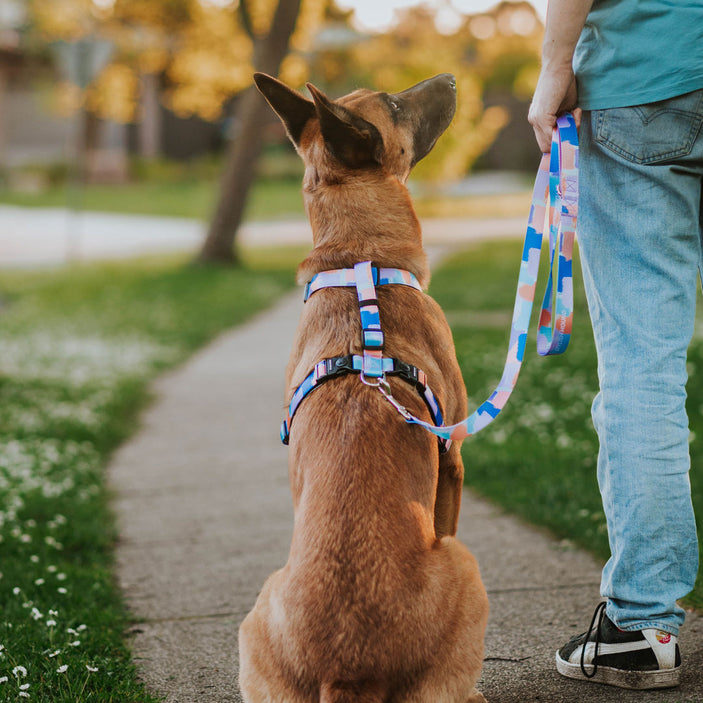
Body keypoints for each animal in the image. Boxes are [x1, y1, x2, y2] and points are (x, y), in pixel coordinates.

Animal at [238, 73, 490, 703]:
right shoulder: (453, 460)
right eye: (395, 103)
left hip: (257, 610)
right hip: (465, 564)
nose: (452, 78)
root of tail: (348, 671)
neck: (360, 261)